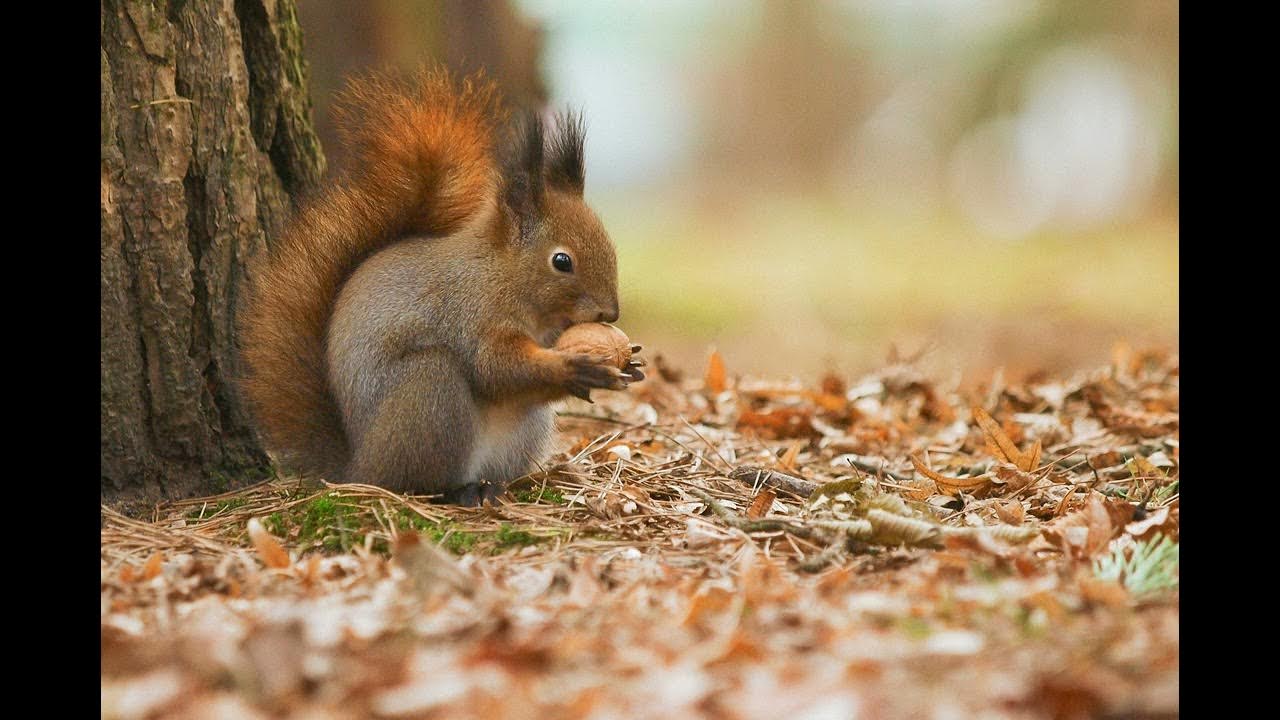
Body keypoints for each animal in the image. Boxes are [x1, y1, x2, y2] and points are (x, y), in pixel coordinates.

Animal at [239, 66, 639, 505]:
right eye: (562, 261)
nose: (611, 312)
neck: (502, 275)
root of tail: (355, 467)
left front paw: (627, 363)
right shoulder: (473, 312)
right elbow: (494, 367)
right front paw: (573, 367)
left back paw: (493, 485)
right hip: (429, 395)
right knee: (413, 477)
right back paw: (458, 490)